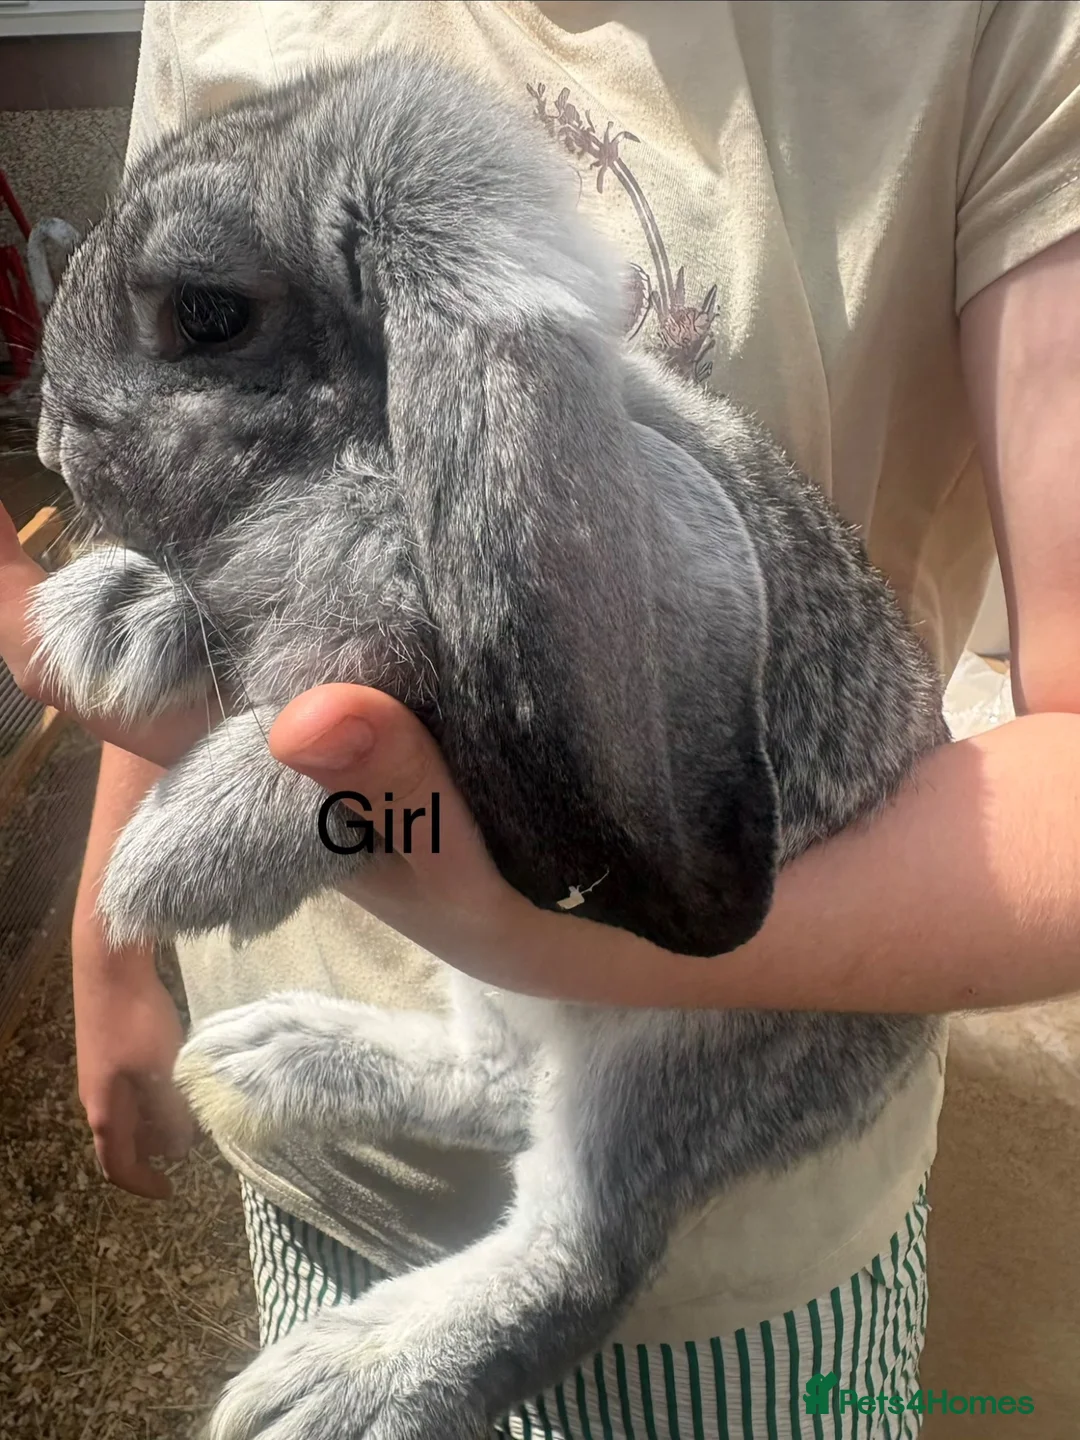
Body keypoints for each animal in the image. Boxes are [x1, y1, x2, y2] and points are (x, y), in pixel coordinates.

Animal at [29, 49, 949, 1440]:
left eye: (207, 315)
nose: (47, 440)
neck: (346, 445)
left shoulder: (413, 664)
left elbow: (335, 712)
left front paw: (174, 861)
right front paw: (111, 615)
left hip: (679, 1058)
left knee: (579, 1256)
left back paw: (328, 1389)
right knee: (497, 1080)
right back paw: (261, 1059)